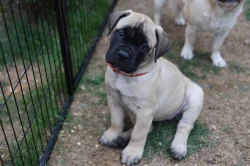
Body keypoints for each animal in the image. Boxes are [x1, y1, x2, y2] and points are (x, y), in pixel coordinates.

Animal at [98, 9, 204, 165]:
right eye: (121, 33)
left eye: (143, 47)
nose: (123, 55)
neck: (126, 76)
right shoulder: (114, 100)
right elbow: (116, 122)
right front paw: (112, 135)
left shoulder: (145, 112)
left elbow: (138, 134)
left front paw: (132, 153)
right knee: (150, 127)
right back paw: (121, 138)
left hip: (195, 97)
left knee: (184, 126)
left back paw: (178, 147)